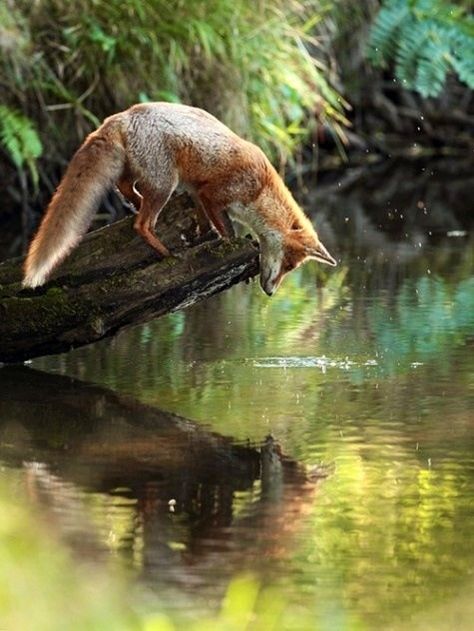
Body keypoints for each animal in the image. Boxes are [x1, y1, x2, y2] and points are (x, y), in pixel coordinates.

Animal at [21, 102, 334, 296]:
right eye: (289, 265)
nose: (270, 293)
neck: (260, 190)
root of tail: (123, 114)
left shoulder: (197, 194)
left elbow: (205, 223)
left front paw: (200, 236)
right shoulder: (212, 195)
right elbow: (228, 231)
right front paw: (228, 248)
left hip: (143, 175)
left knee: (124, 188)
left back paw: (136, 206)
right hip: (165, 184)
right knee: (142, 225)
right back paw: (166, 254)